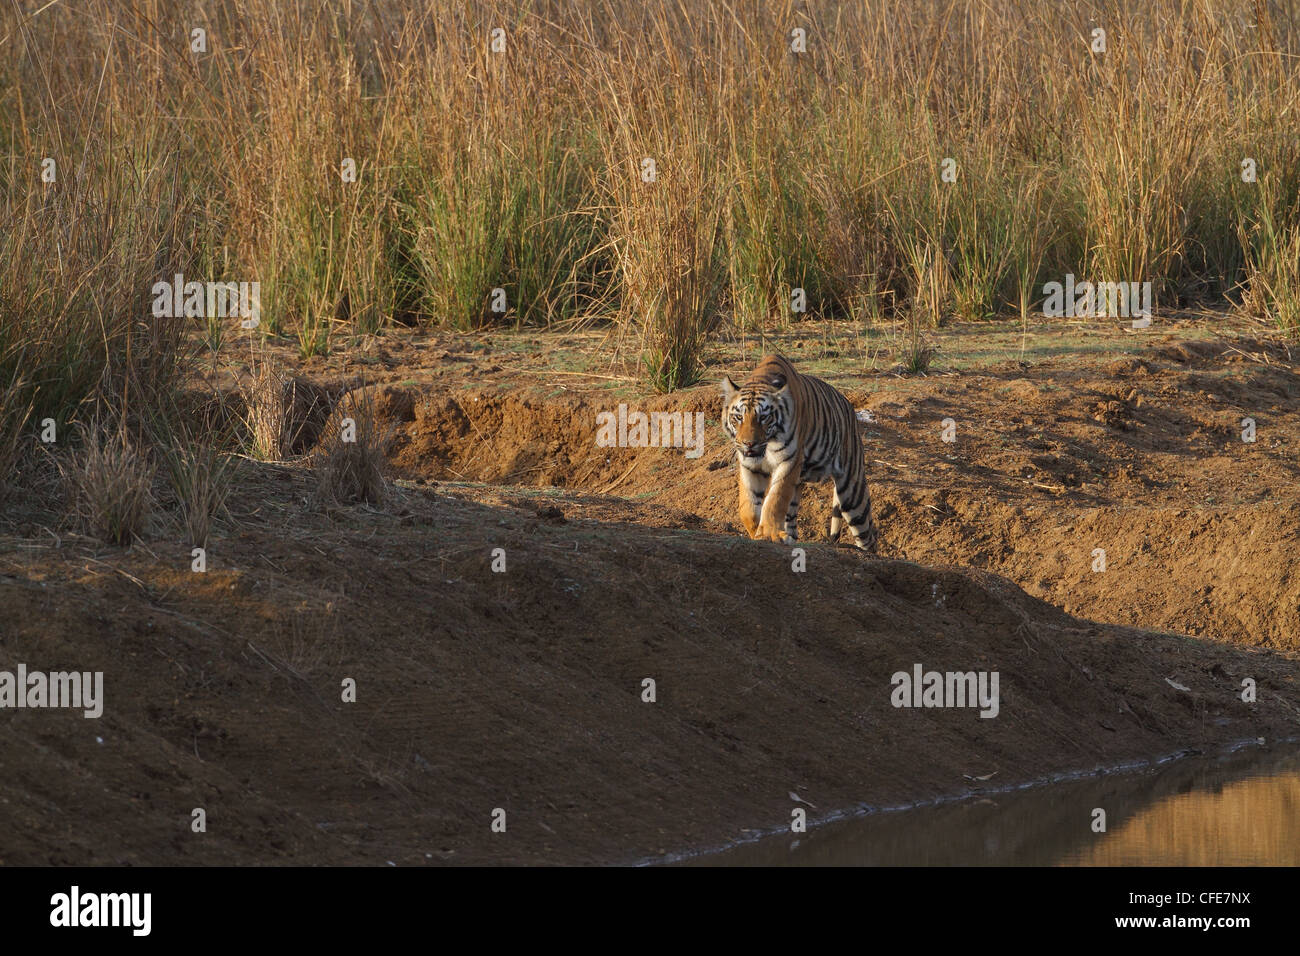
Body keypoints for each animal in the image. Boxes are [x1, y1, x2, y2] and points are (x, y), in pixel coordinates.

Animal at [717, 356, 878, 554]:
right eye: (739, 417)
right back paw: (789, 538)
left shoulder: (789, 461)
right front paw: (757, 533)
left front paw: (768, 533)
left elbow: (775, 499)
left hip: (852, 493)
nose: (749, 443)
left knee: (868, 535)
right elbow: (748, 506)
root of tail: (849, 406)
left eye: (764, 417)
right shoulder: (749, 465)